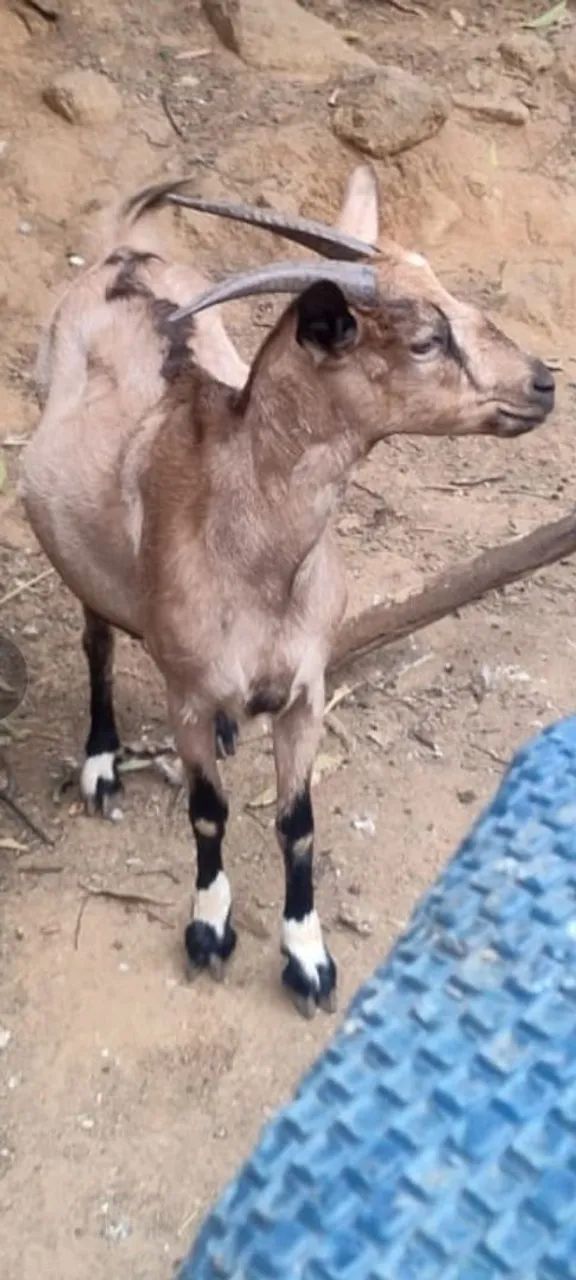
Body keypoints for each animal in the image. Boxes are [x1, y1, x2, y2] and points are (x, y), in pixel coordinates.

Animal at [20, 166, 555, 1017]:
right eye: (425, 340)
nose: (542, 385)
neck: (254, 554)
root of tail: (124, 251)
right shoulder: (186, 693)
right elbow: (209, 814)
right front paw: (209, 932)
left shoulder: (307, 688)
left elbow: (297, 822)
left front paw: (307, 958)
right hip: (75, 554)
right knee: (97, 639)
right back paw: (101, 761)